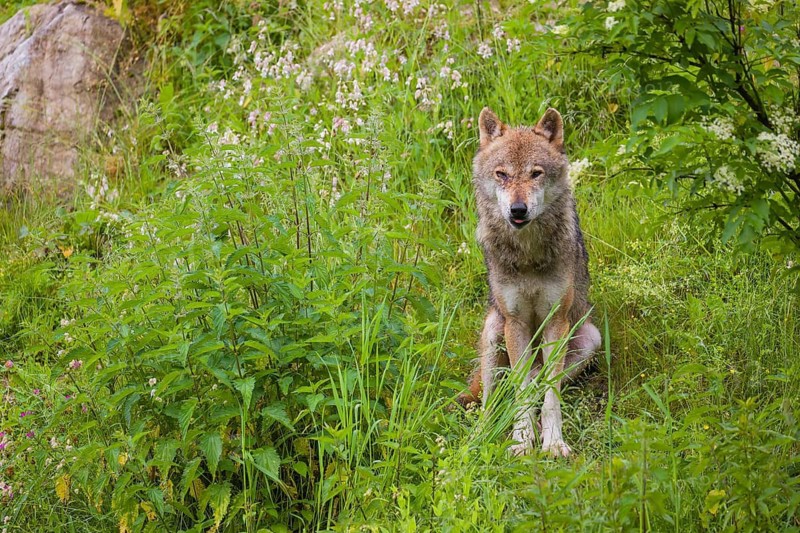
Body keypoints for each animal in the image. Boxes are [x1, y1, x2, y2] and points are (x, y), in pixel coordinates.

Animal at [460, 107, 602, 457]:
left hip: (590, 339)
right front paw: (521, 441)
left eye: (536, 173)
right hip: (494, 330)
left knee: (539, 381)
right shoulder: (516, 323)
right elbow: (521, 391)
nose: (518, 209)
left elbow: (549, 396)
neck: (528, 255)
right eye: (502, 174)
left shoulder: (555, 321)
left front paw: (553, 443)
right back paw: (481, 437)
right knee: (493, 399)